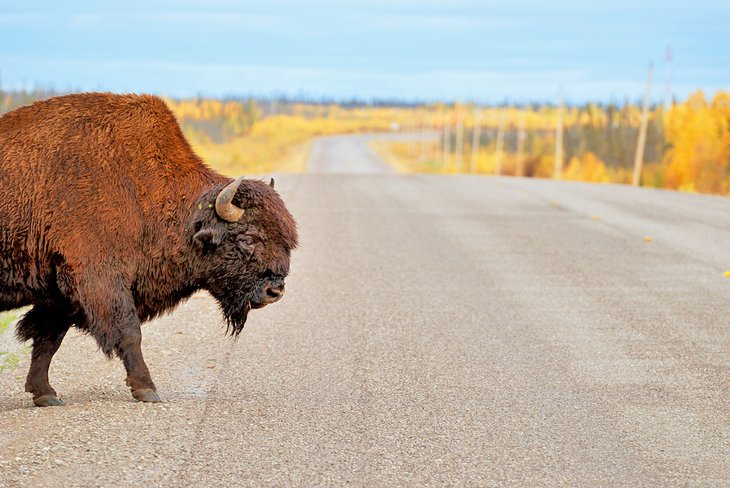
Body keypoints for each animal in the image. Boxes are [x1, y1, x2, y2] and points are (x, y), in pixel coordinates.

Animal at [0, 93, 296, 406]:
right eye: (248, 239)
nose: (275, 291)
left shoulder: (60, 295)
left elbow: (48, 339)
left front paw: (45, 393)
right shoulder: (100, 280)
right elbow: (129, 332)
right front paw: (147, 389)